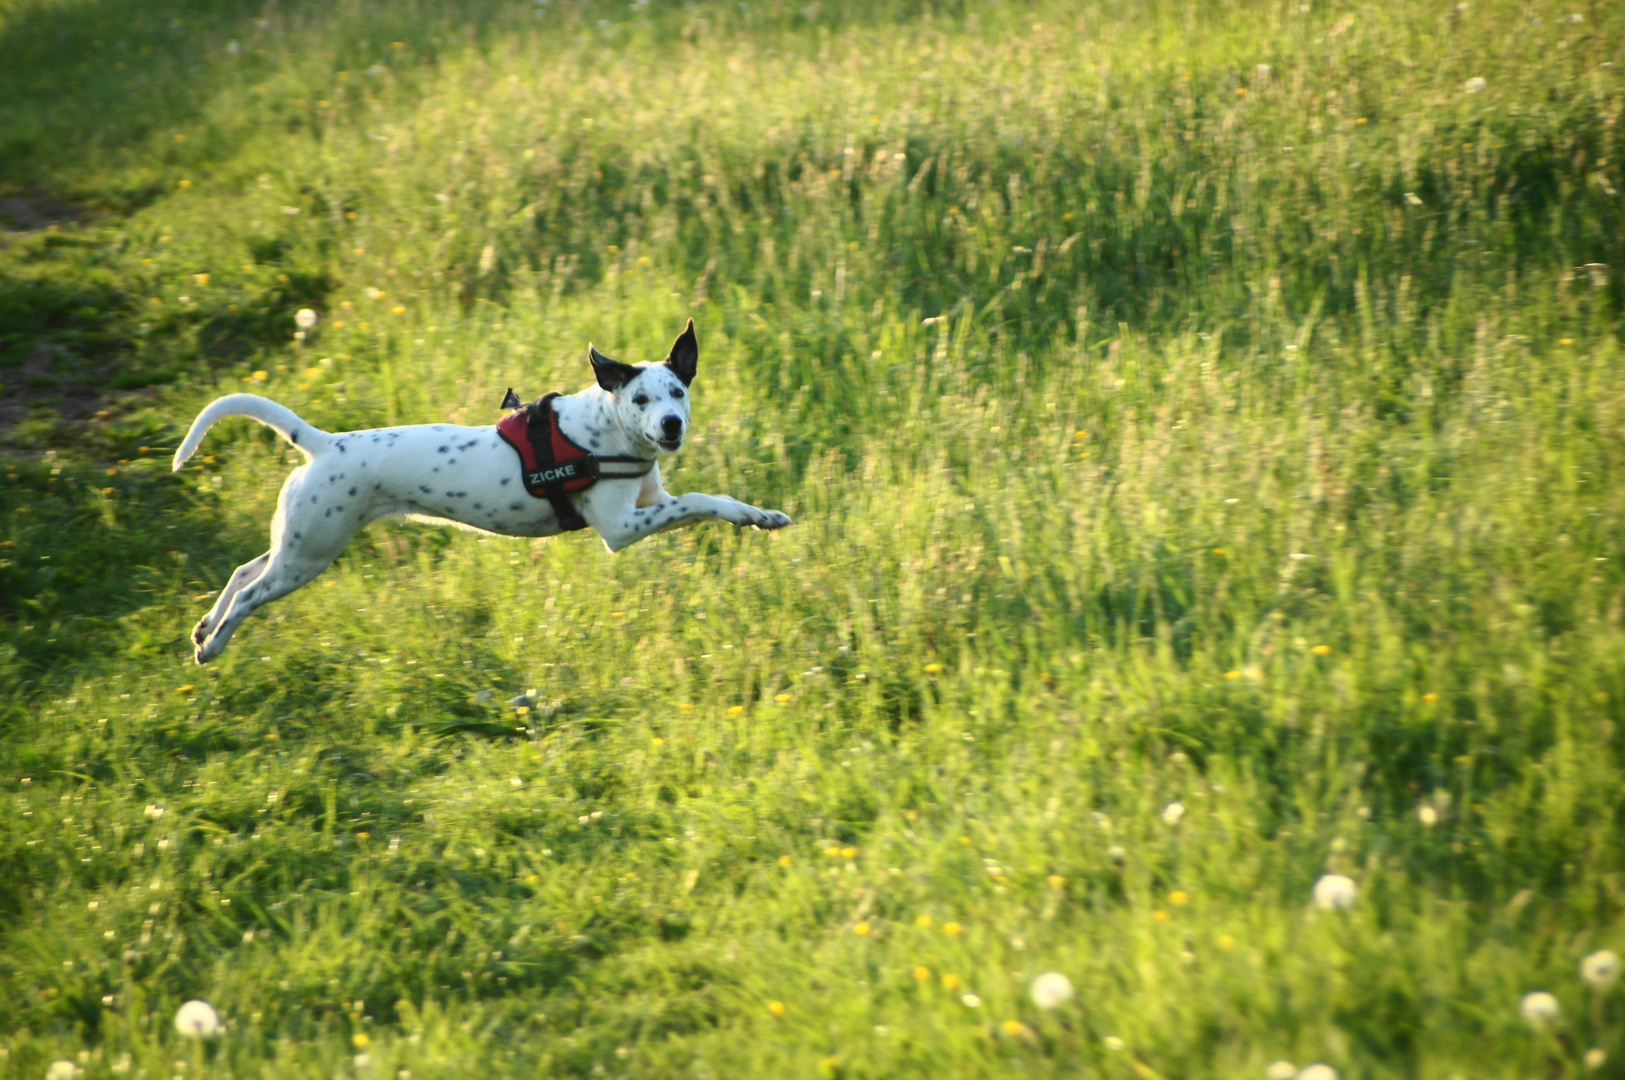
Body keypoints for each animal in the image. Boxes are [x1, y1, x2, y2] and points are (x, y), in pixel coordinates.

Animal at [171, 316, 793, 662]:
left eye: (678, 392)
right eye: (640, 398)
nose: (671, 425)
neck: (606, 433)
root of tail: (323, 444)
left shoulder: (652, 505)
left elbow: (705, 502)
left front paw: (759, 515)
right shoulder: (621, 528)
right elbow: (701, 501)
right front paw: (749, 515)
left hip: (301, 543)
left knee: (244, 572)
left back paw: (205, 627)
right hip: (309, 554)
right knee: (250, 593)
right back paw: (215, 644)